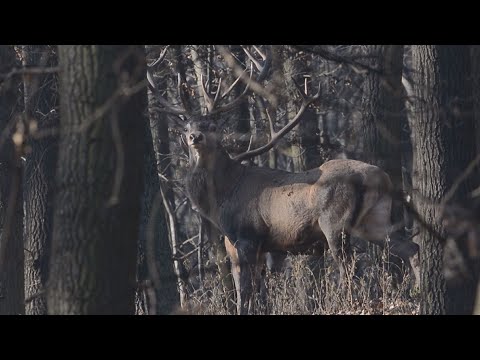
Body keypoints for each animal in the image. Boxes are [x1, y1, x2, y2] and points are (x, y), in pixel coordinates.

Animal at [149, 45, 420, 316]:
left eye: (212, 125)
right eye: (186, 128)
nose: (195, 136)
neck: (223, 196)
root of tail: (380, 177)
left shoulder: (247, 235)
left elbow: (245, 291)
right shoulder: (254, 246)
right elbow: (251, 290)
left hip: (335, 222)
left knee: (349, 267)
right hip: (374, 220)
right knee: (410, 248)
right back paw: (419, 291)